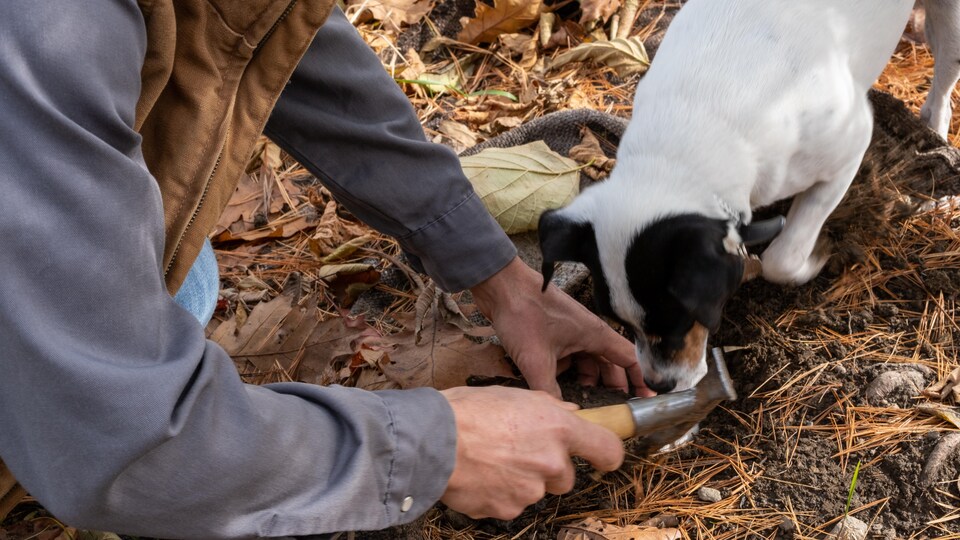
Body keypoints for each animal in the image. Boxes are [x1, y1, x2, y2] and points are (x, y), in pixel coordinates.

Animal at [540, 2, 960, 394]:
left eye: (680, 316)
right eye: (620, 323)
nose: (657, 386)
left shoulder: (849, 149)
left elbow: (782, 258)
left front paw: (816, 255)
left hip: (949, 25)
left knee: (943, 81)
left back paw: (935, 135)